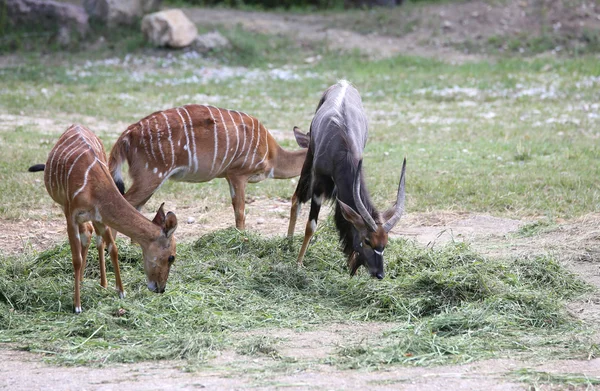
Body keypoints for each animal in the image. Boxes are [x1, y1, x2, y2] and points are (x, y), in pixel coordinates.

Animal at [29, 125, 178, 316]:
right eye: (171, 257)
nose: (161, 288)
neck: (93, 188)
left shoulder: (98, 215)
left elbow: (112, 248)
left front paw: (120, 292)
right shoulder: (71, 214)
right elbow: (76, 258)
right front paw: (77, 306)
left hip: (93, 219)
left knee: (93, 236)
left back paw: (97, 282)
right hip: (65, 207)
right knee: (87, 236)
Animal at [108, 105, 312, 231]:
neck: (272, 155)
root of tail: (128, 134)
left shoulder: (229, 176)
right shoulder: (238, 173)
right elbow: (240, 211)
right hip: (150, 174)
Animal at [288, 81, 408, 280]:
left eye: (385, 242)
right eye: (367, 240)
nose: (379, 273)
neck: (341, 146)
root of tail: (343, 83)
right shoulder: (319, 184)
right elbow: (311, 225)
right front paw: (298, 264)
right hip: (309, 159)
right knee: (296, 198)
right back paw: (288, 242)